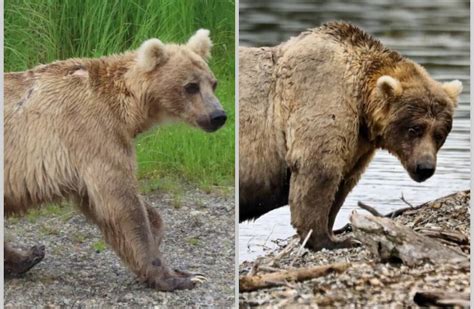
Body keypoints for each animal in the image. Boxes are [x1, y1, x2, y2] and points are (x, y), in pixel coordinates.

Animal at [3, 27, 226, 290]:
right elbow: (120, 201)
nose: (218, 115)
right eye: (191, 86)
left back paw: (27, 256)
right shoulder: (92, 133)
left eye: (213, 83)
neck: (128, 110)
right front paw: (180, 277)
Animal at [239, 22, 462, 250]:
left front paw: (334, 231)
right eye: (414, 129)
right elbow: (318, 168)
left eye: (439, 134)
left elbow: (343, 182)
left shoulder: (359, 144)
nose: (425, 167)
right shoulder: (322, 96)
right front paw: (331, 239)